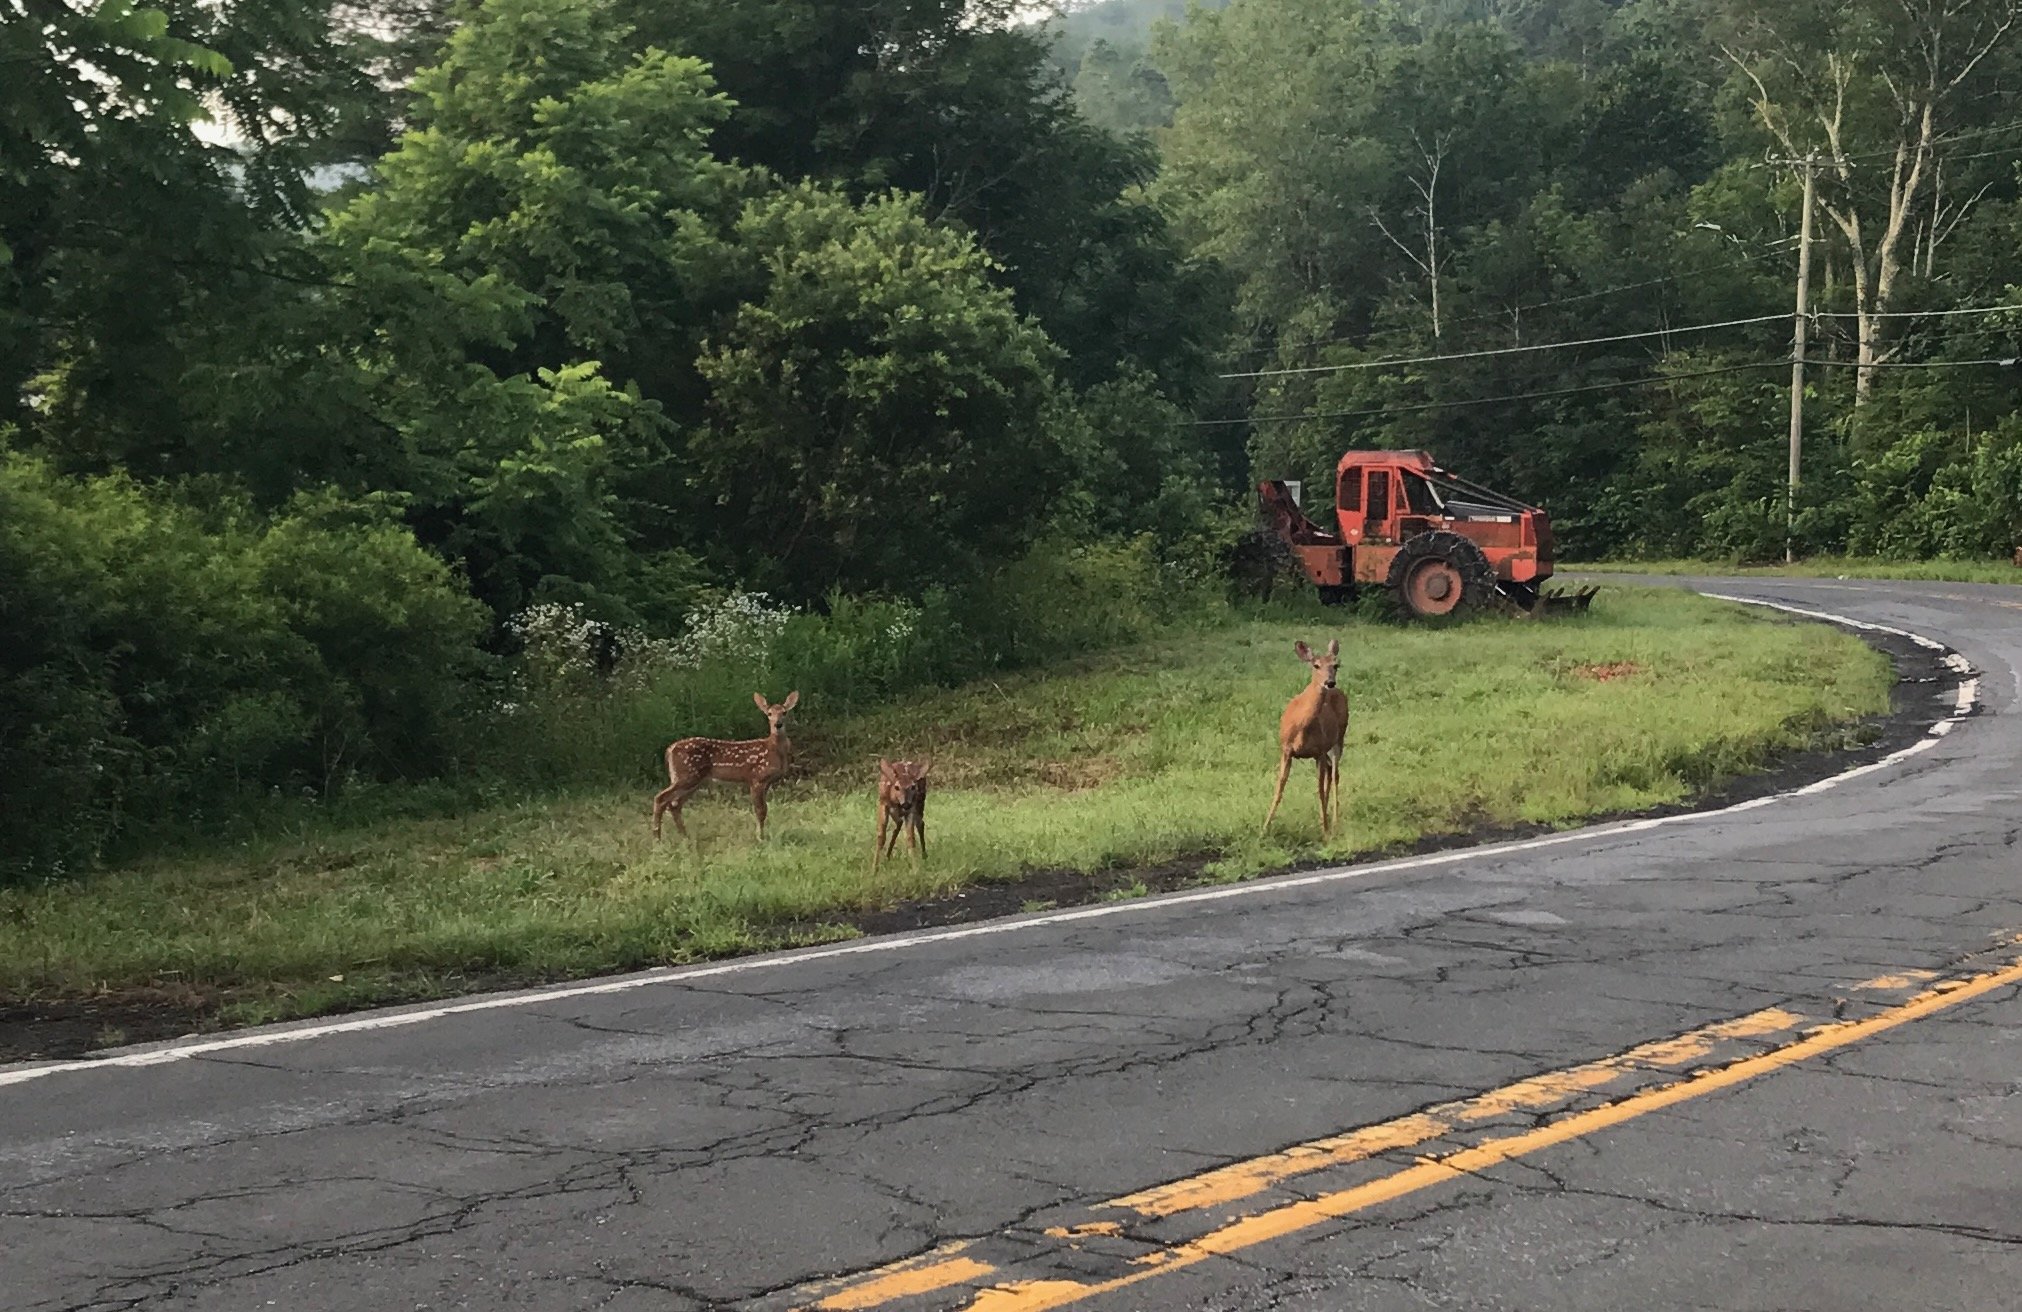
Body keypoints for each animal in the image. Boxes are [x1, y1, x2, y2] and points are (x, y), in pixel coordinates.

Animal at [651, 691, 800, 842]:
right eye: (769, 713)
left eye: (784, 712)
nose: (778, 724)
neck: (774, 749)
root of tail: (669, 750)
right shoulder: (756, 778)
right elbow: (760, 810)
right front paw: (760, 837)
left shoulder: (767, 782)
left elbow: (764, 809)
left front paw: (761, 836)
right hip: (686, 775)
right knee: (661, 798)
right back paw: (657, 838)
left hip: (694, 780)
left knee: (675, 804)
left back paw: (685, 836)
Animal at [1263, 639, 1348, 838]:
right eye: (1316, 665)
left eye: (1336, 665)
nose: (1329, 682)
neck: (1301, 725)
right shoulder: (1286, 749)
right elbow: (1279, 788)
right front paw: (1264, 829)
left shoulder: (1319, 751)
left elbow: (1319, 790)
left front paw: (1325, 830)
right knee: (1331, 772)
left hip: (1339, 737)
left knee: (1335, 774)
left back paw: (1334, 821)